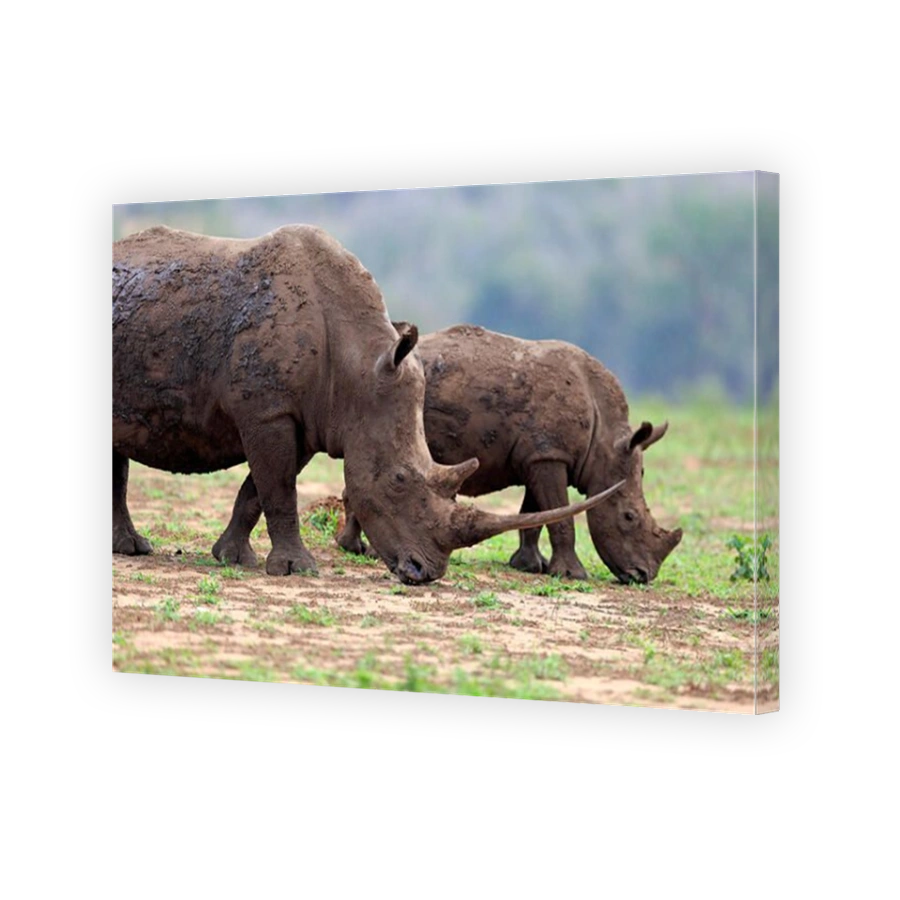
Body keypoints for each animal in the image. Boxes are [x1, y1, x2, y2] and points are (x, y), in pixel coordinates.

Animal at [113, 226, 623, 584]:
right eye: (398, 481)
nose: (425, 573)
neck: (358, 365)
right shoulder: (268, 410)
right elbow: (279, 488)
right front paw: (297, 570)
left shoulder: (305, 420)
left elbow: (259, 489)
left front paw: (233, 558)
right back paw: (133, 550)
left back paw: (131, 549)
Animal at [338, 324, 682, 584]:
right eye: (629, 517)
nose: (643, 576)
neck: (606, 442)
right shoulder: (550, 455)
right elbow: (560, 515)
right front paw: (572, 575)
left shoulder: (539, 455)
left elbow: (534, 513)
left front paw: (529, 565)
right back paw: (365, 551)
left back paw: (355, 548)